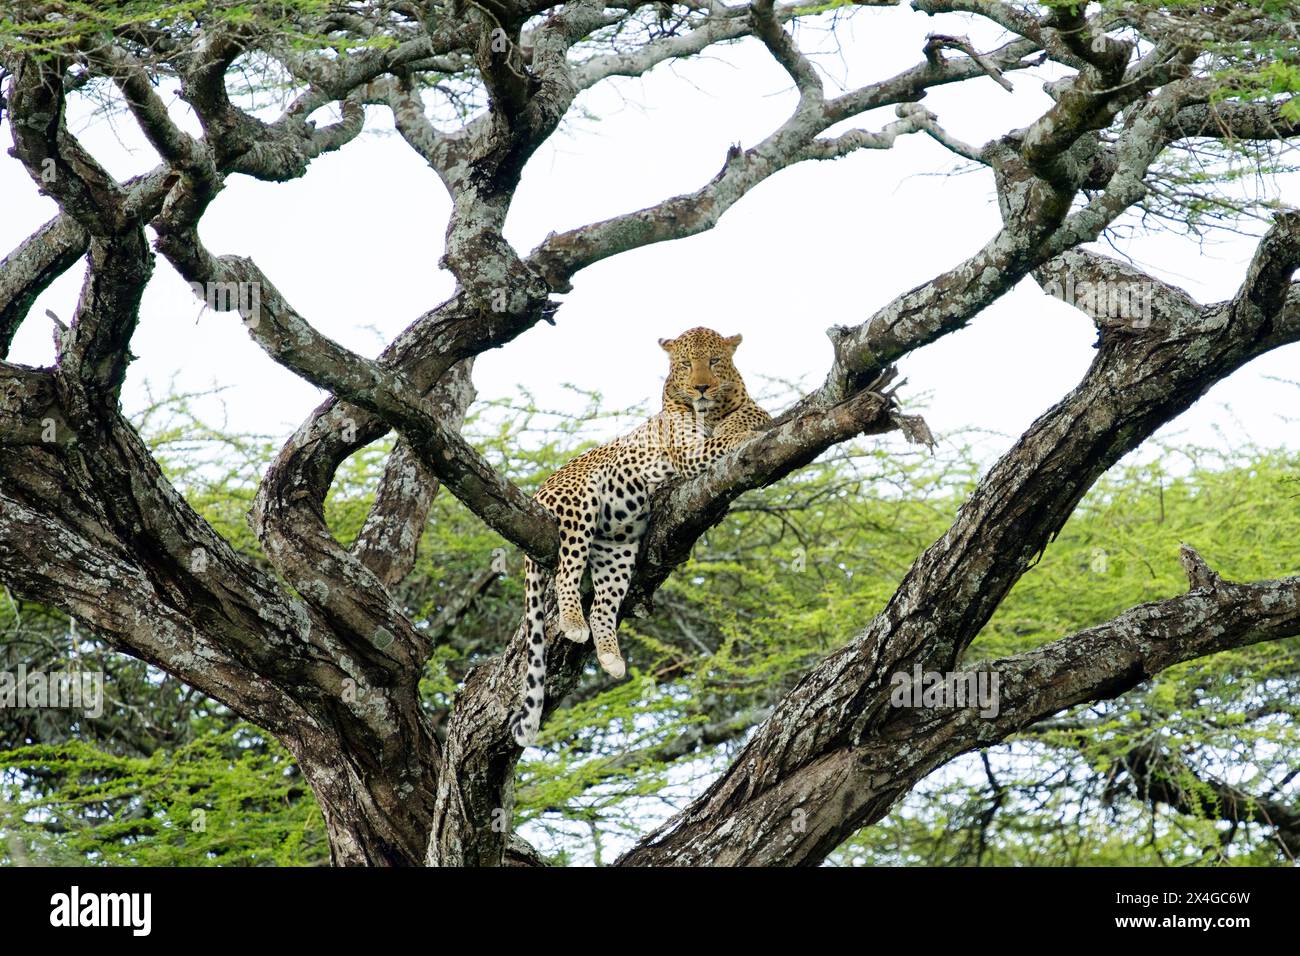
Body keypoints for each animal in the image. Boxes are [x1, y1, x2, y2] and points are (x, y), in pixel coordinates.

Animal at [510, 327, 773, 747]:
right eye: (686, 364)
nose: (701, 387)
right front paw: (745, 430)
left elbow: (747, 412)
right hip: (580, 502)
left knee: (603, 605)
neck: (712, 411)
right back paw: (573, 622)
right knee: (567, 572)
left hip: (615, 549)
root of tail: (539, 491)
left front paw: (748, 417)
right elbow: (722, 440)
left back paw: (612, 659)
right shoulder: (689, 452)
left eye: (714, 361)